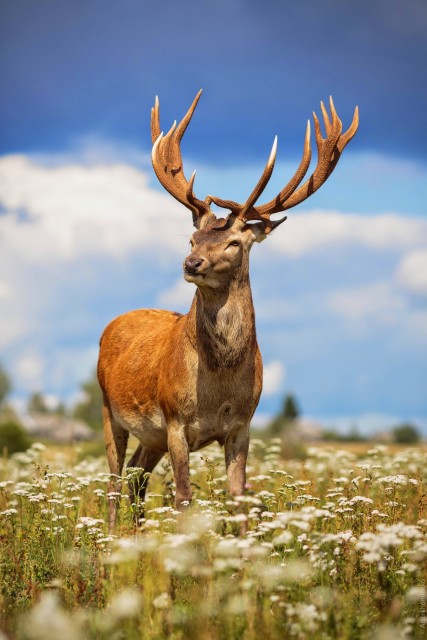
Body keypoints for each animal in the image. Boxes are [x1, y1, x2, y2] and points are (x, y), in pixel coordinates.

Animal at [97, 90, 358, 530]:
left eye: (235, 242)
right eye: (192, 239)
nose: (191, 264)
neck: (218, 383)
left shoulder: (242, 425)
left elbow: (238, 498)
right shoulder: (175, 419)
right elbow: (184, 498)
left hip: (150, 435)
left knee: (136, 476)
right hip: (108, 408)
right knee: (115, 480)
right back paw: (112, 539)